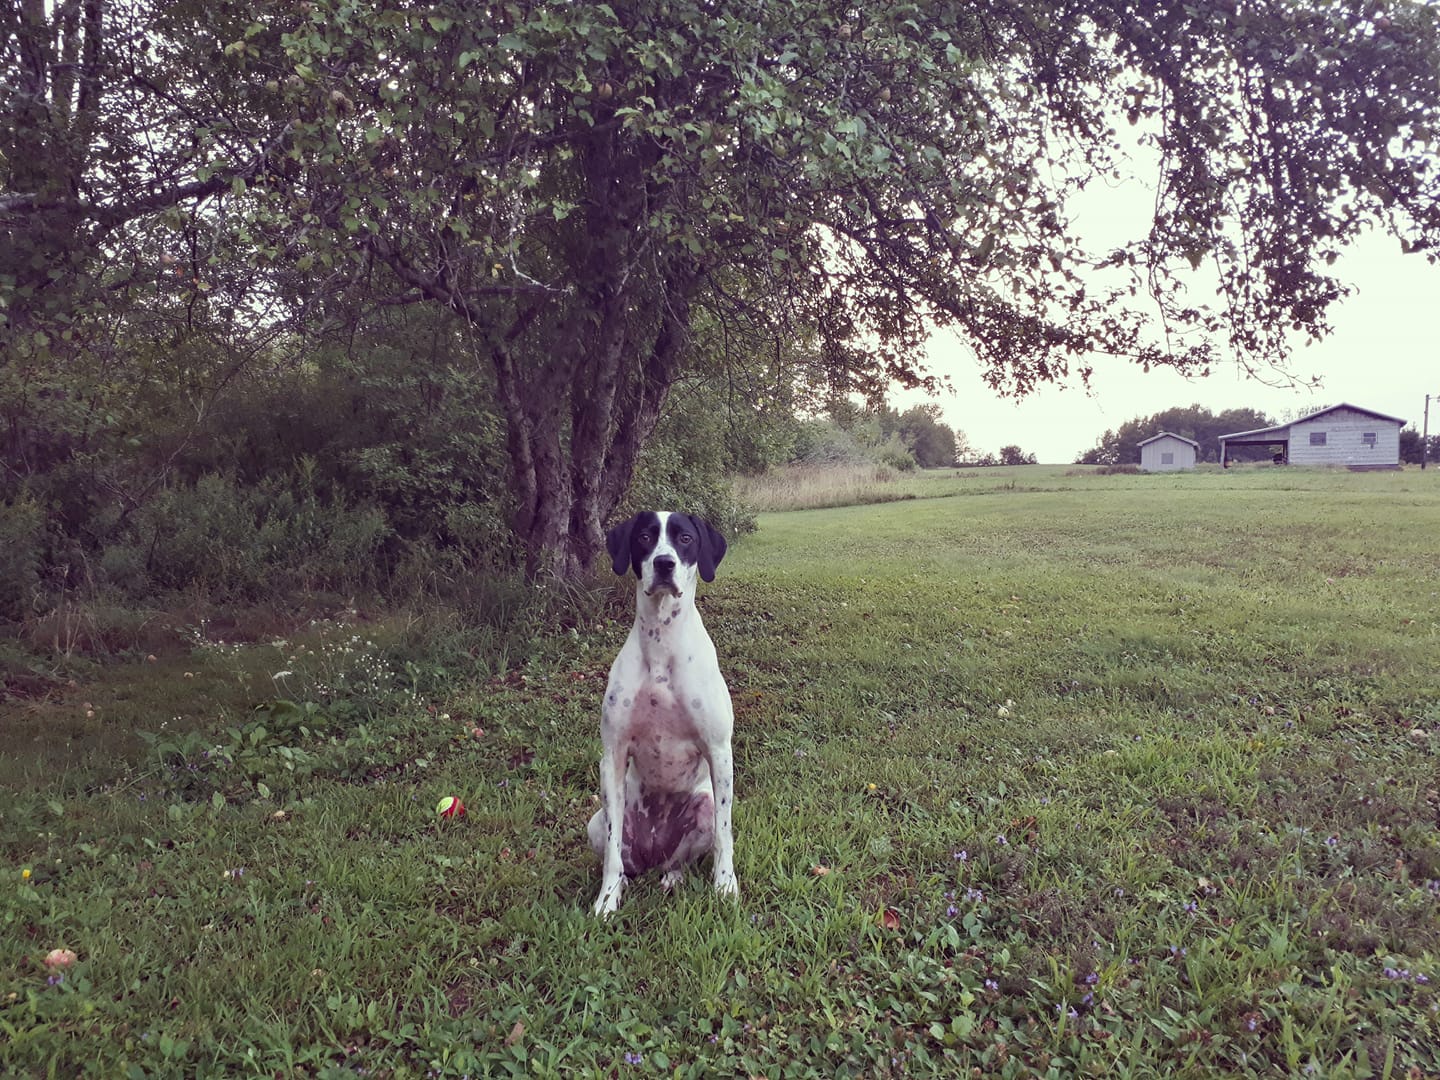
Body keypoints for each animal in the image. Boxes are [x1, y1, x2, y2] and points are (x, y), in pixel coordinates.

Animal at [587, 512, 737, 915]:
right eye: (644, 536)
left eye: (685, 538)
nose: (664, 563)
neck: (661, 643)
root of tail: (652, 855)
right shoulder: (612, 755)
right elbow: (612, 856)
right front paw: (606, 899)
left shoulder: (719, 751)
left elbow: (725, 836)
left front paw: (726, 886)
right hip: (598, 820)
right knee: (622, 856)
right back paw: (625, 882)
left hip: (702, 807)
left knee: (680, 859)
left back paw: (674, 876)